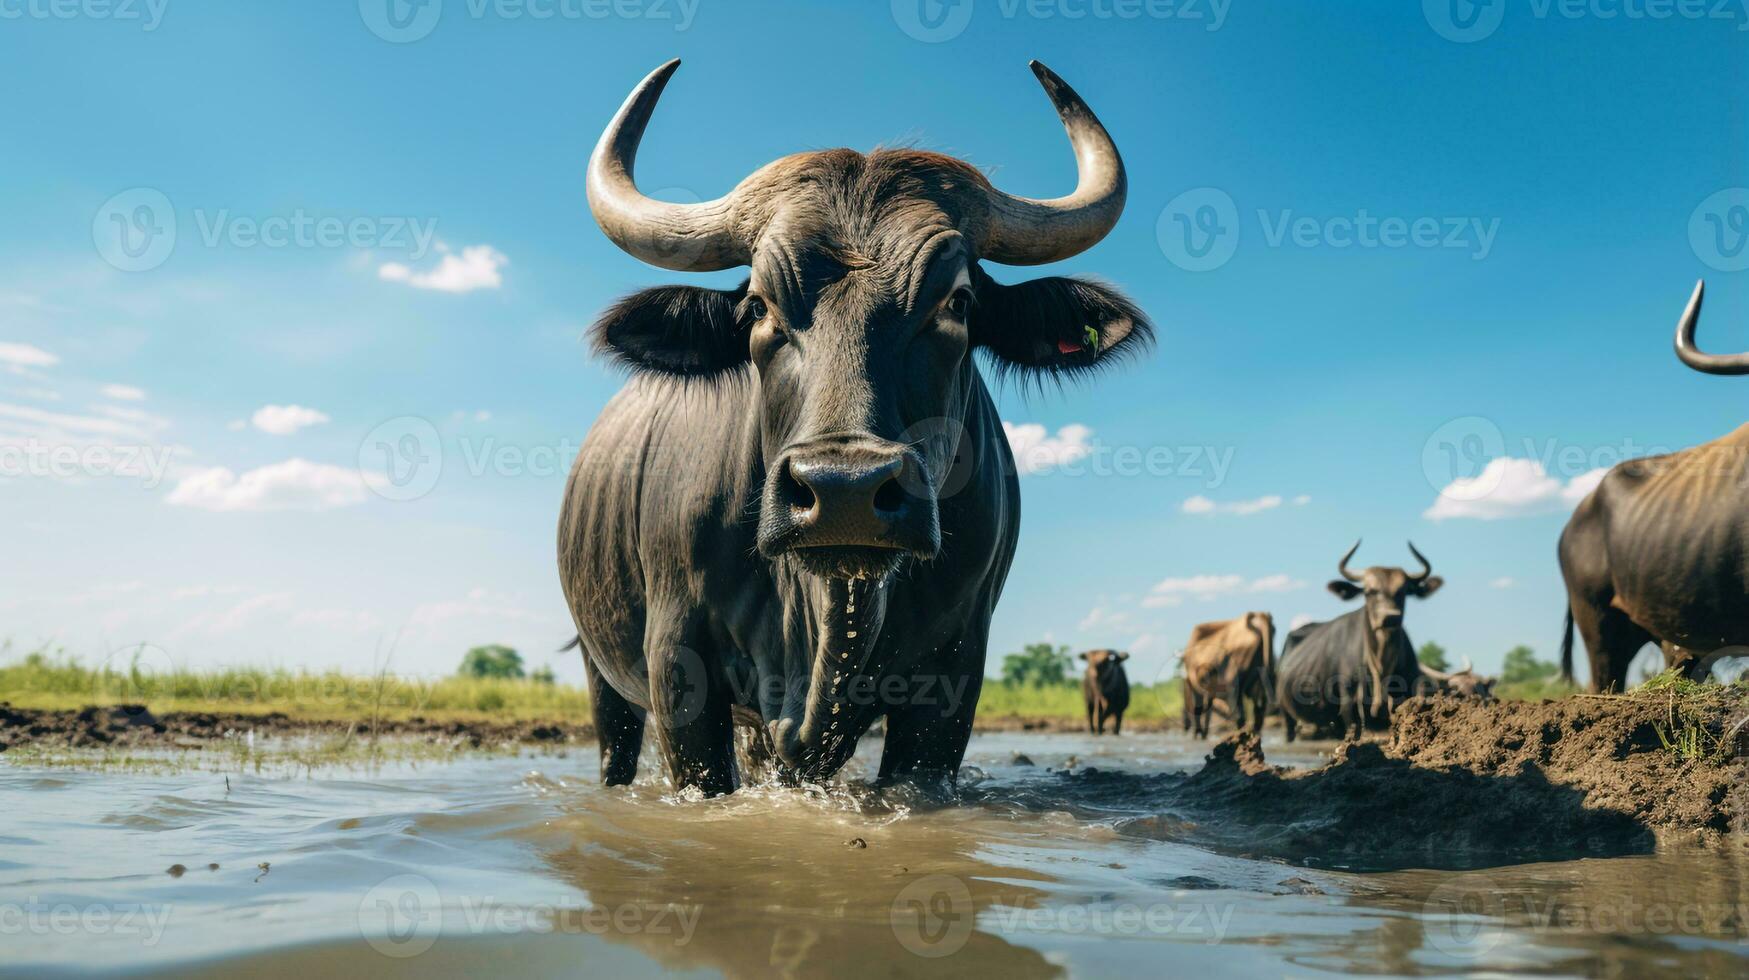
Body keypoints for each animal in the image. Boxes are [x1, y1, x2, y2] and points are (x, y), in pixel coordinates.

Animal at [563, 59, 1161, 798]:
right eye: (758, 305)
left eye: (957, 301)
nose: (843, 491)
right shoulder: (678, 662)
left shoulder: (955, 670)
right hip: (602, 674)